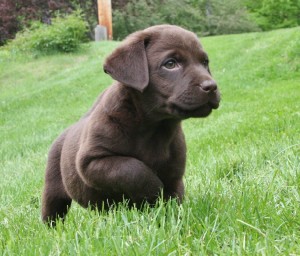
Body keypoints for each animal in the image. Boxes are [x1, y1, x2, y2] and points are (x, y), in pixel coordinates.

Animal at [41, 24, 220, 224]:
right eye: (170, 64)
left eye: (204, 62)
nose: (211, 86)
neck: (155, 127)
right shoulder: (91, 162)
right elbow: (134, 170)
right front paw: (154, 192)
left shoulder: (174, 173)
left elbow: (173, 199)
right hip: (53, 189)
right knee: (52, 213)